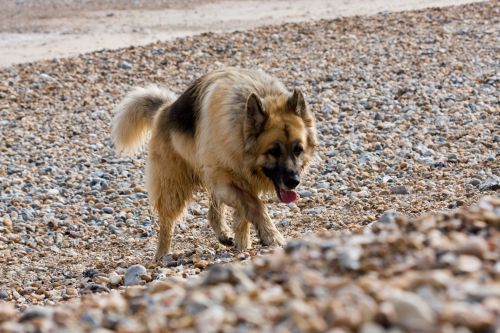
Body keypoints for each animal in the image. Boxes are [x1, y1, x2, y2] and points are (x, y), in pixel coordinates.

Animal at [112, 67, 316, 260]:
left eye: (298, 149)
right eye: (273, 151)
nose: (293, 182)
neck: (240, 131)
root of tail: (166, 108)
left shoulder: (242, 180)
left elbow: (244, 214)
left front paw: (244, 244)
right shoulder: (227, 181)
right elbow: (255, 205)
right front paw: (272, 235)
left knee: (214, 211)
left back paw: (225, 235)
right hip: (173, 184)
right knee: (167, 221)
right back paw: (162, 254)